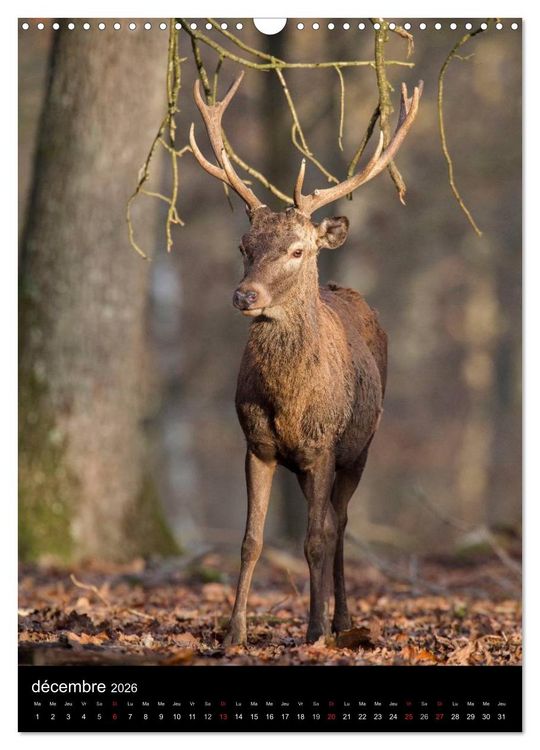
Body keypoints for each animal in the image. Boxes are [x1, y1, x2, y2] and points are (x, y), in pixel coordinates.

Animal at [189, 71, 423, 645]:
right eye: (244, 245)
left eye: (298, 250)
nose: (244, 295)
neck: (290, 401)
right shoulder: (258, 445)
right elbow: (250, 540)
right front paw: (234, 634)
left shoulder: (324, 445)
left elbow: (316, 538)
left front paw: (314, 630)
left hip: (361, 446)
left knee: (339, 524)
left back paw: (341, 621)